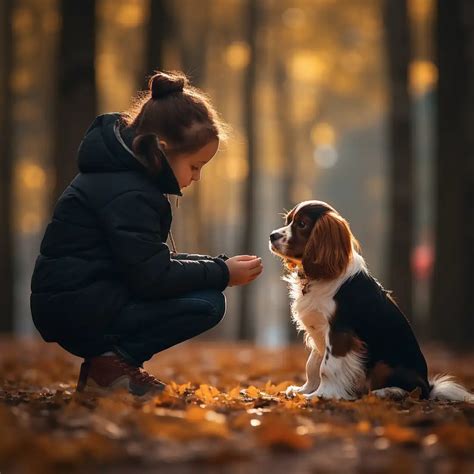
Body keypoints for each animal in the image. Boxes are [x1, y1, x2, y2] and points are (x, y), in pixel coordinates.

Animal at [270, 198, 474, 402]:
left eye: (301, 224)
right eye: (288, 220)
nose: (272, 236)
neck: (317, 277)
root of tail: (429, 386)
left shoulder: (339, 333)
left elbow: (327, 368)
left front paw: (321, 394)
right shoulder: (319, 331)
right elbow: (312, 365)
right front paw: (303, 390)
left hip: (385, 364)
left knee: (415, 391)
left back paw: (386, 392)